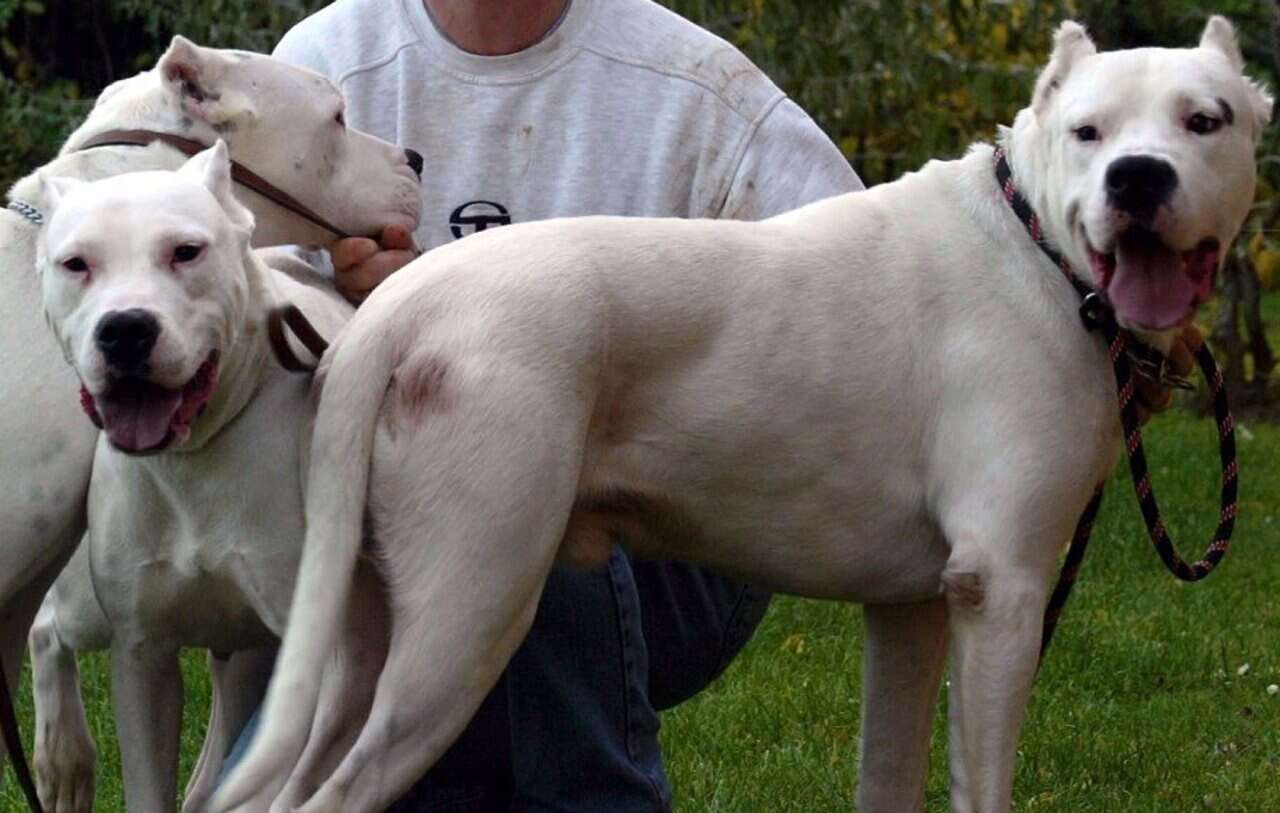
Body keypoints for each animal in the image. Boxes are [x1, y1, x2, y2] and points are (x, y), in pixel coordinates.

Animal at [220, 19, 1269, 813]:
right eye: (1088, 132)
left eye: (1205, 121)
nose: (1140, 177)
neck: (1037, 245)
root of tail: (401, 307)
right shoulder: (1002, 594)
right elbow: (984, 786)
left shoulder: (916, 609)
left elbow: (890, 775)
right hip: (468, 613)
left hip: (361, 645)